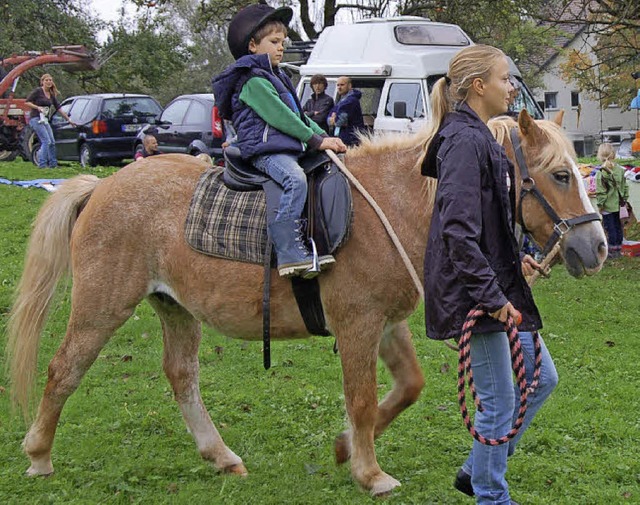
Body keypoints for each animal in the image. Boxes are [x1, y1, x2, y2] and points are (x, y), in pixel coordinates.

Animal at [5, 109, 604, 492]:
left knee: (181, 376)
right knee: (64, 369)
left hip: (174, 307)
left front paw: (345, 449)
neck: (394, 205)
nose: (596, 246)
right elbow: (361, 399)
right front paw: (370, 473)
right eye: (558, 174)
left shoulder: (385, 324)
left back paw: (221, 456)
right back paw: (38, 455)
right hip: (103, 306)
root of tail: (100, 187)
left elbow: (408, 387)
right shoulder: (357, 324)